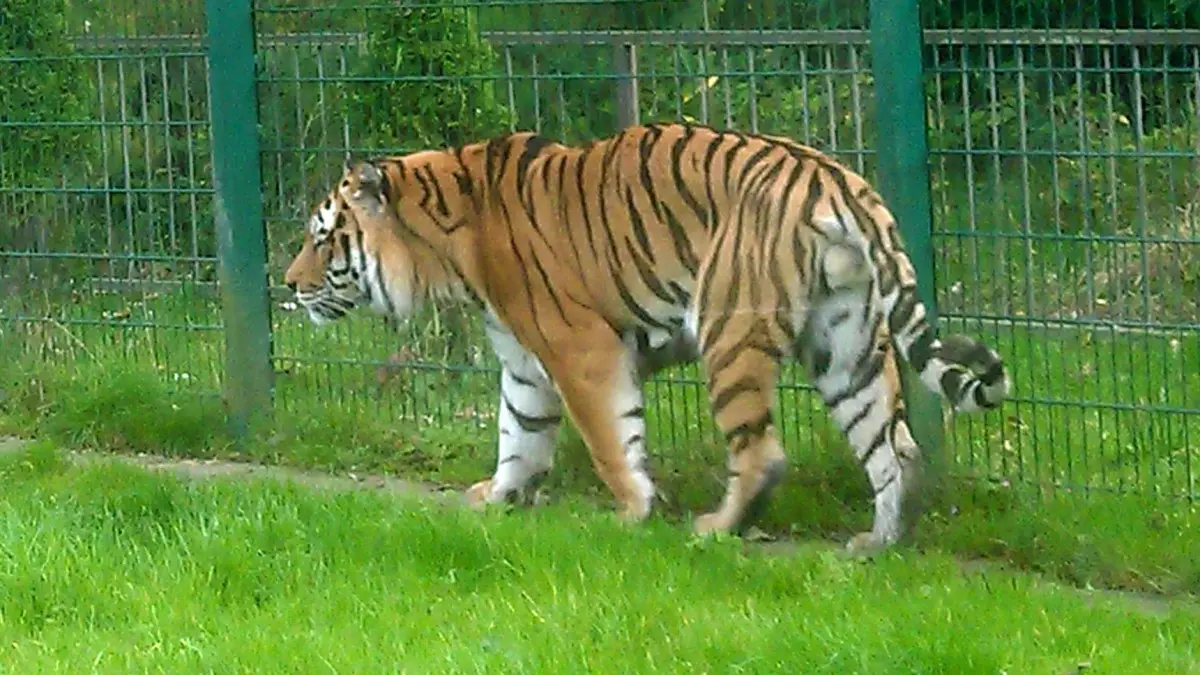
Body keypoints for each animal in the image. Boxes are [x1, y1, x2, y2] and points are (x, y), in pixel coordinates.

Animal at [285, 120, 1008, 552]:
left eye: (324, 238)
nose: (288, 283)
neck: (444, 242)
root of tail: (834, 177)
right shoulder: (523, 360)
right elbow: (518, 432)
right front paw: (499, 497)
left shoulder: (580, 348)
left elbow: (610, 439)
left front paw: (633, 512)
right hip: (847, 342)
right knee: (895, 447)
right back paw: (878, 543)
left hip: (730, 330)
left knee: (762, 452)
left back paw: (716, 528)